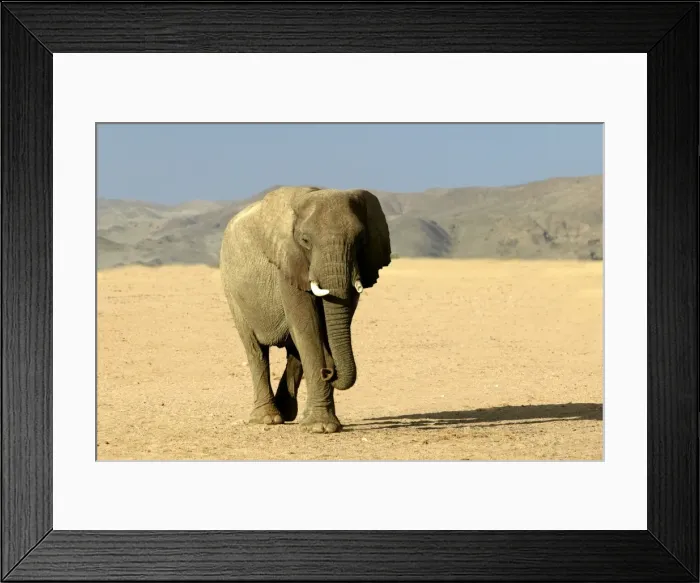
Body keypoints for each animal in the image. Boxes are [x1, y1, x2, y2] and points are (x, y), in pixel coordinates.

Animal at [220, 186, 392, 433]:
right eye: (305, 240)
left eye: (361, 240)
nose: (329, 372)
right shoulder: (287, 263)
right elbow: (308, 328)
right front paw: (321, 427)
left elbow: (324, 329)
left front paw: (317, 423)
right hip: (231, 288)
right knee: (255, 349)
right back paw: (268, 419)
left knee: (294, 350)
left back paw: (289, 413)